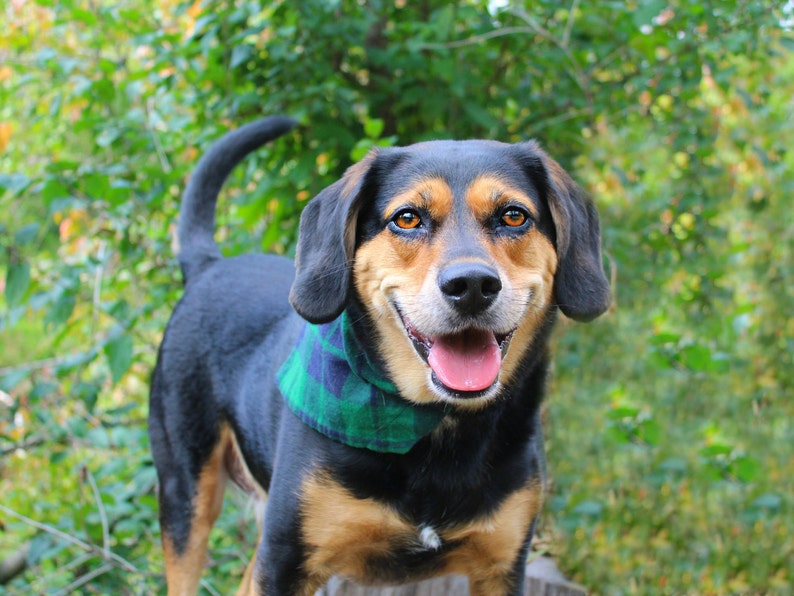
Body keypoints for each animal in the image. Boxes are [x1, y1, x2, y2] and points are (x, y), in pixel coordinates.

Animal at [147, 114, 608, 592]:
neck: (436, 426)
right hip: (186, 493)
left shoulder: (502, 566)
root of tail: (209, 264)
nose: (472, 285)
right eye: (407, 218)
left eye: (514, 215)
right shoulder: (284, 562)